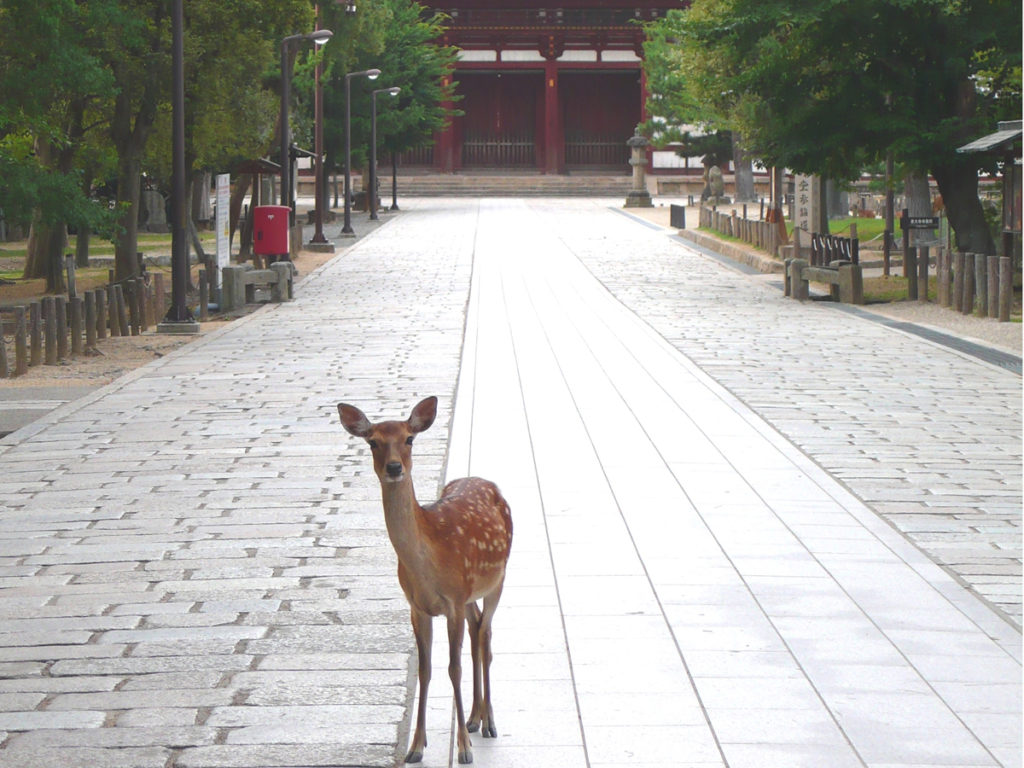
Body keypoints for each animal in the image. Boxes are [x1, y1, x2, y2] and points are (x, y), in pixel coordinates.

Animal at [337, 397, 512, 765]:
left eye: (409, 438)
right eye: (372, 442)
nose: (393, 468)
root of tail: (489, 484)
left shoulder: (453, 602)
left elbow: (453, 669)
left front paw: (463, 749)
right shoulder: (418, 607)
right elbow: (426, 669)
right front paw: (416, 746)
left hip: (498, 579)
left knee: (486, 636)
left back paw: (489, 722)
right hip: (471, 593)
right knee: (477, 629)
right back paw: (474, 718)